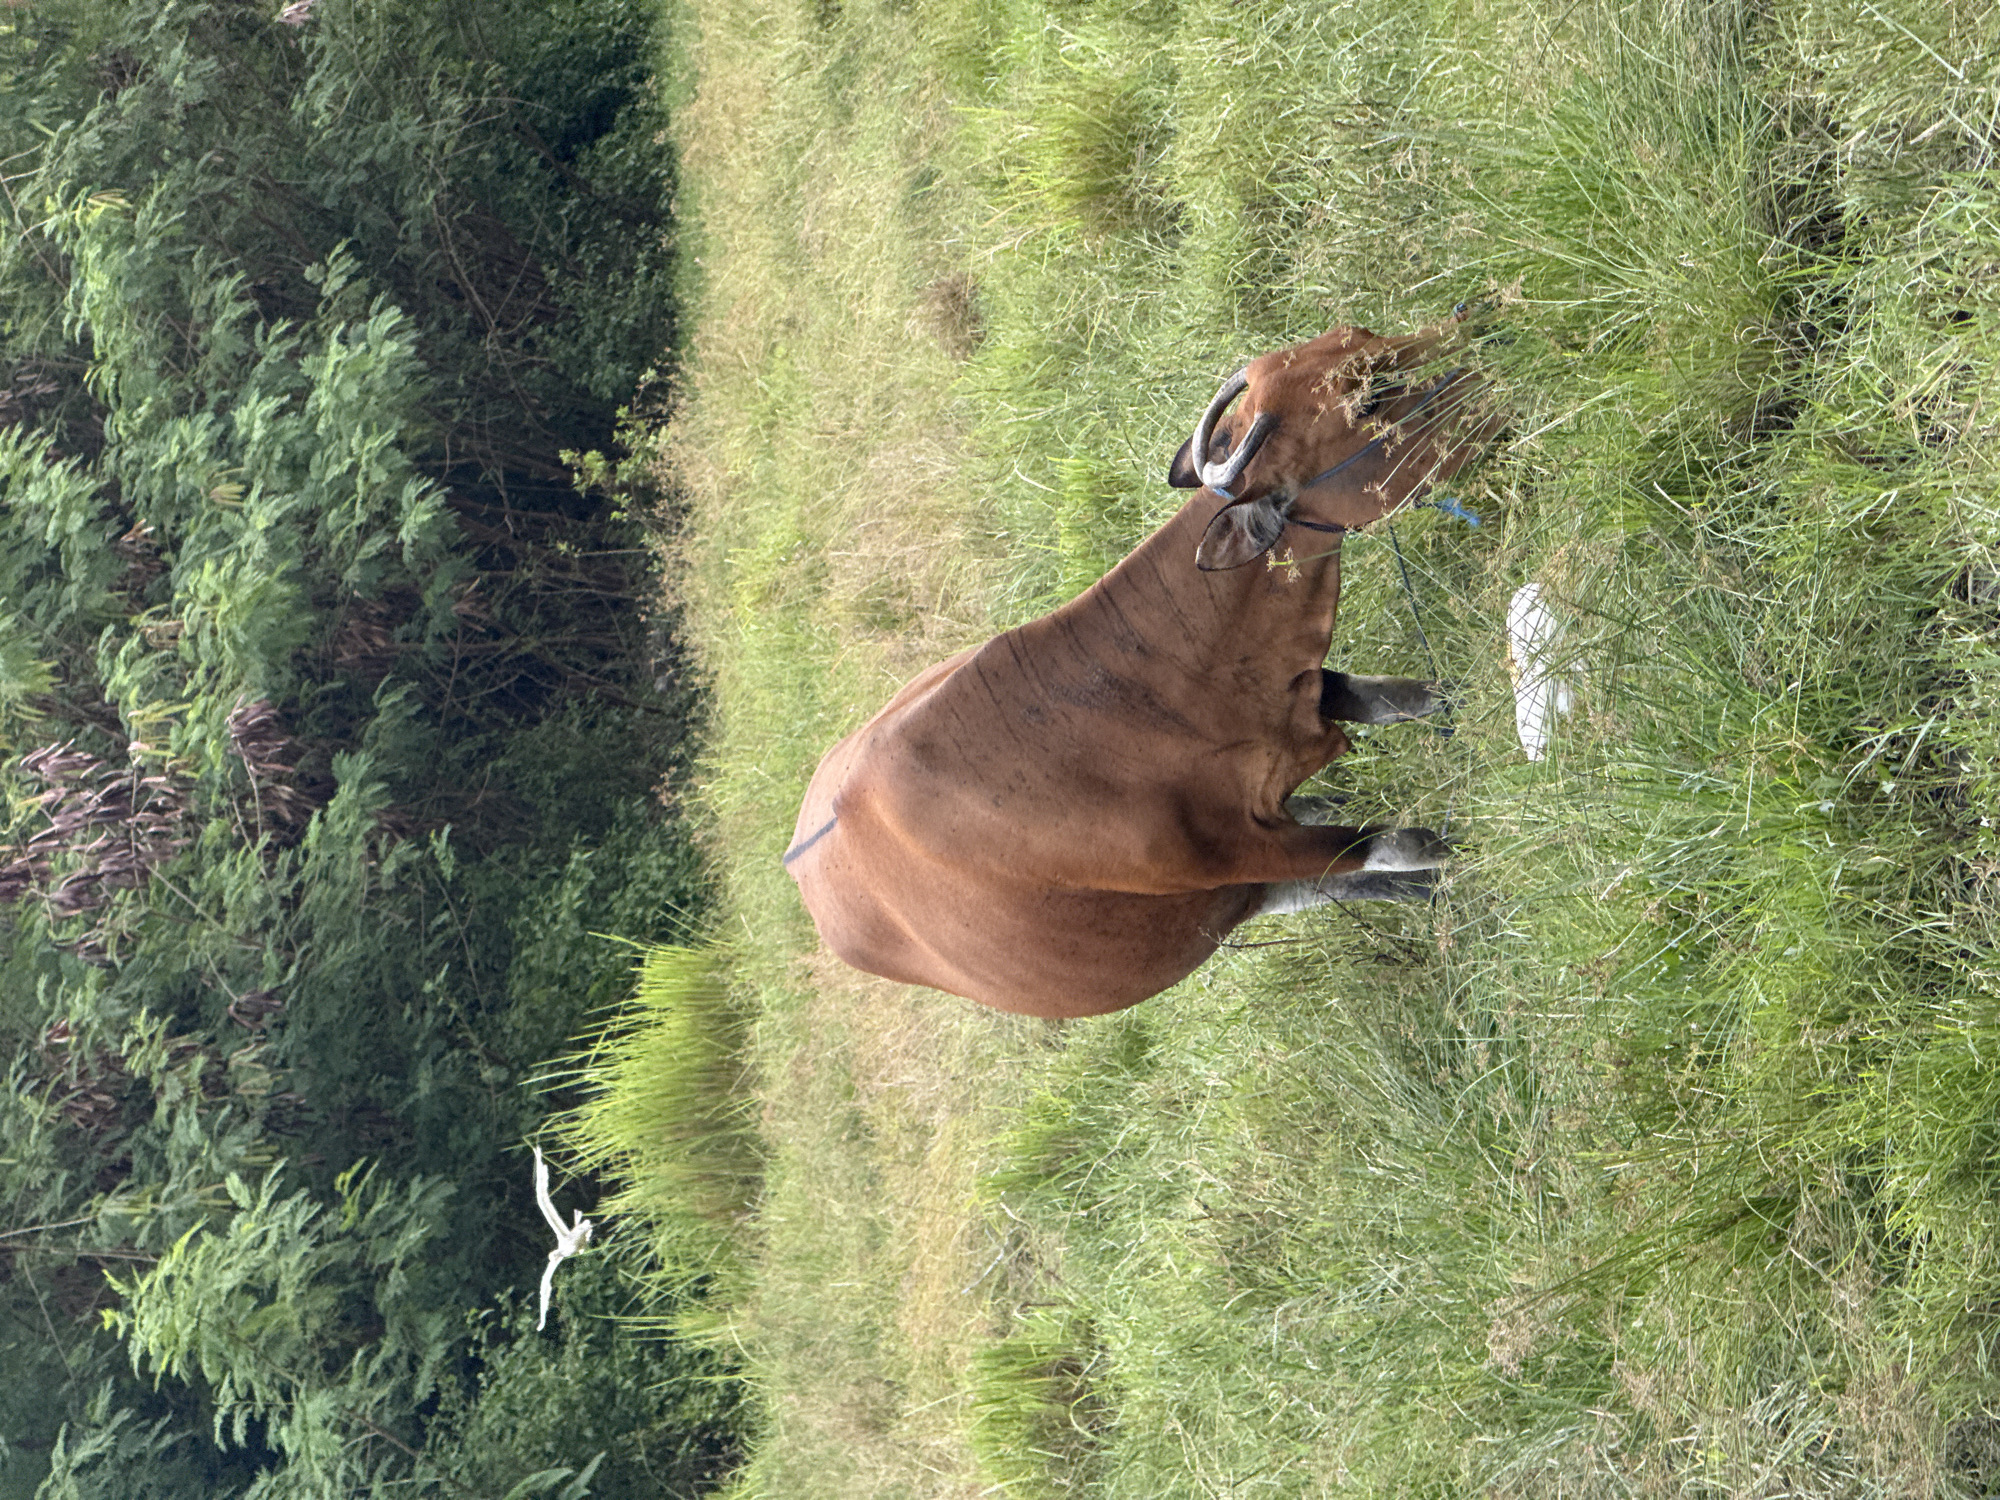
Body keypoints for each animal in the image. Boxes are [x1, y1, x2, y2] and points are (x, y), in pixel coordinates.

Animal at [785, 318, 1494, 1019]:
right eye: (1366, 399)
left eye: (1361, 334)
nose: (1480, 332)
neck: (1150, 687)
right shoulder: (1240, 852)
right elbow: (1401, 844)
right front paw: (1465, 861)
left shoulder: (1297, 700)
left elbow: (1404, 697)